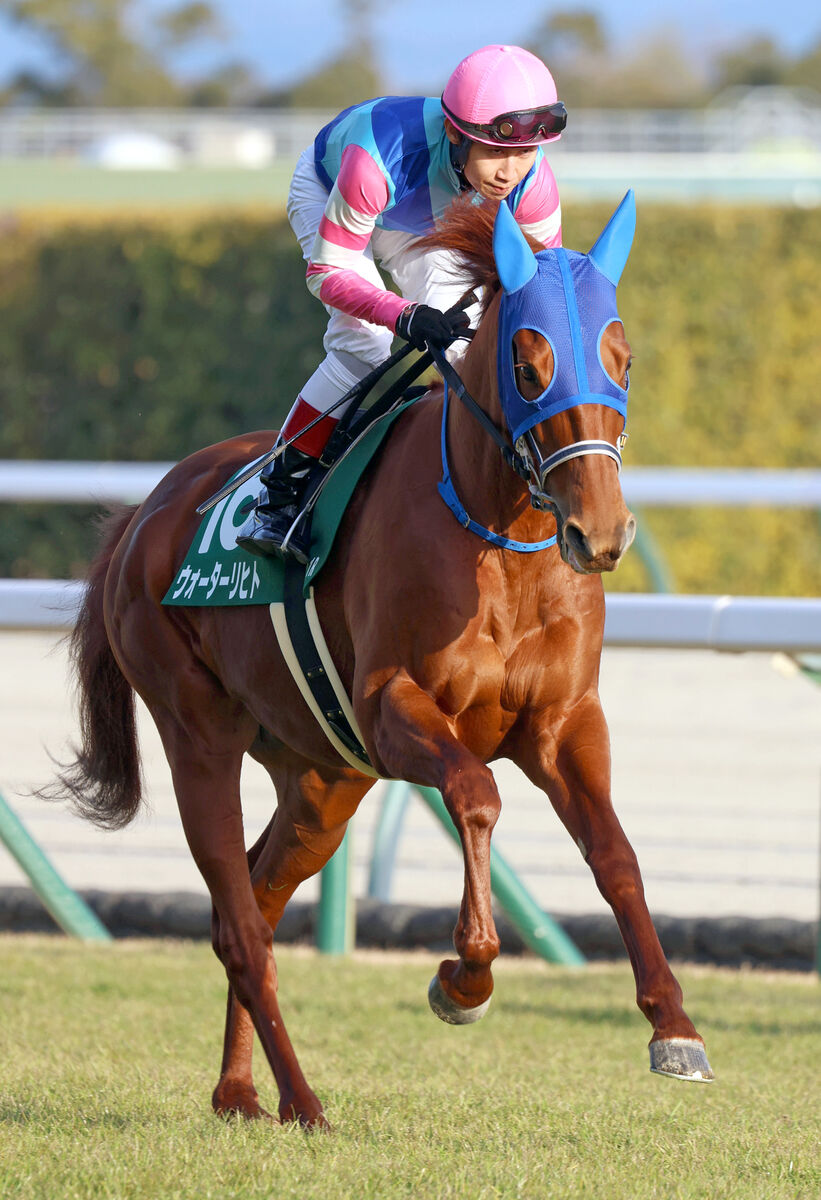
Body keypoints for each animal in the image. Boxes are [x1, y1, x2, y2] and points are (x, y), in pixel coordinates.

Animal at [49, 192, 710, 1128]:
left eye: (623, 358)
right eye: (528, 364)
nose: (602, 533)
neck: (500, 537)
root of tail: (142, 516)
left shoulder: (563, 722)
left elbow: (615, 854)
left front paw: (674, 1028)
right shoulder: (394, 708)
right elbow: (476, 797)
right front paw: (462, 980)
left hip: (322, 778)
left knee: (254, 897)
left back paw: (239, 1090)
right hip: (198, 733)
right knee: (239, 925)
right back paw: (302, 1098)